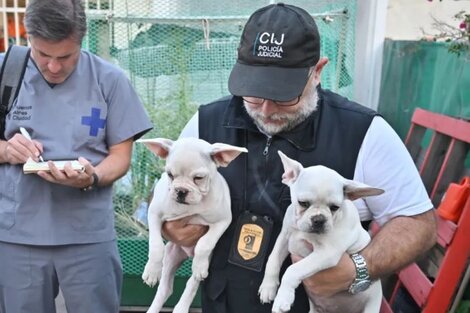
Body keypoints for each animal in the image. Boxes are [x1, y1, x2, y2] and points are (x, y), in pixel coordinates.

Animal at [137, 137, 248, 312]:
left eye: (199, 178)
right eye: (170, 175)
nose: (181, 191)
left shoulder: (222, 221)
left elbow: (204, 243)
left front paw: (198, 265)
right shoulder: (154, 214)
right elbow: (156, 245)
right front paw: (152, 271)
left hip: (206, 261)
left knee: (192, 282)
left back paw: (182, 305)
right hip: (171, 255)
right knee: (165, 289)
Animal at [258, 151, 384, 312]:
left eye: (335, 207)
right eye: (303, 203)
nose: (319, 219)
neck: (303, 231)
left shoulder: (326, 253)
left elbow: (293, 270)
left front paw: (283, 298)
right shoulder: (285, 237)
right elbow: (273, 259)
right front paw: (268, 287)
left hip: (371, 307)